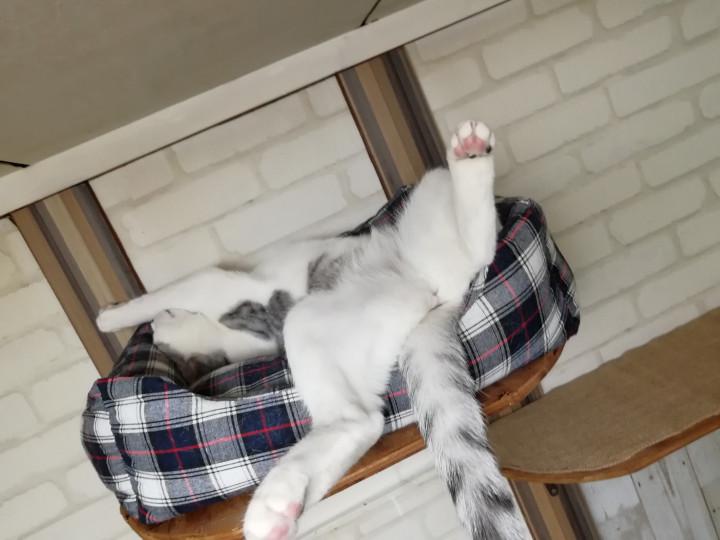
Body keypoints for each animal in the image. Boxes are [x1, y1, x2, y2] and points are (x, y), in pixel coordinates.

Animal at [96, 120, 529, 540]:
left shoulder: (213, 284)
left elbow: (161, 295)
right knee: (361, 420)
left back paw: (470, 157)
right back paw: (275, 509)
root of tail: (441, 297)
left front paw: (111, 316)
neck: (237, 330)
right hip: (330, 331)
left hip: (425, 202)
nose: (155, 328)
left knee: (475, 247)